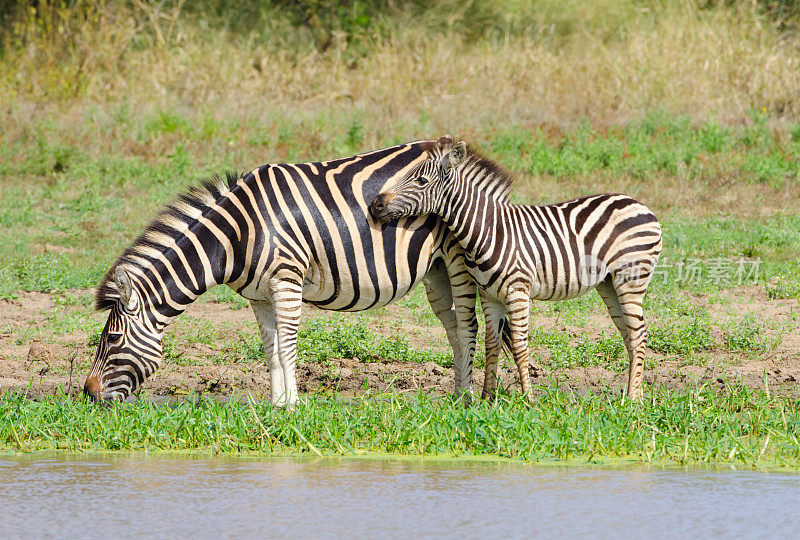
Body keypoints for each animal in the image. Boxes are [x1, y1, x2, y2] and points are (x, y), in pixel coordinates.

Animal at [84, 142, 494, 404]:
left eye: (113, 339)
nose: (87, 394)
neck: (236, 236)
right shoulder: (259, 296)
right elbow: (271, 349)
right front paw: (277, 405)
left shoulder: (286, 282)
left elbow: (288, 347)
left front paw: (293, 407)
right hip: (435, 269)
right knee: (453, 326)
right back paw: (457, 394)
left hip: (457, 259)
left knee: (469, 325)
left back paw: (468, 399)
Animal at [370, 136, 664, 400]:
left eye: (420, 181)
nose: (375, 204)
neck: (488, 230)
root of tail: (638, 203)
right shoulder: (489, 295)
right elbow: (492, 344)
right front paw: (488, 399)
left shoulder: (517, 292)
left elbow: (521, 347)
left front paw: (528, 401)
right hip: (609, 283)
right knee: (628, 334)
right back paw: (631, 395)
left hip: (631, 278)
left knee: (639, 334)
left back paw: (633, 401)